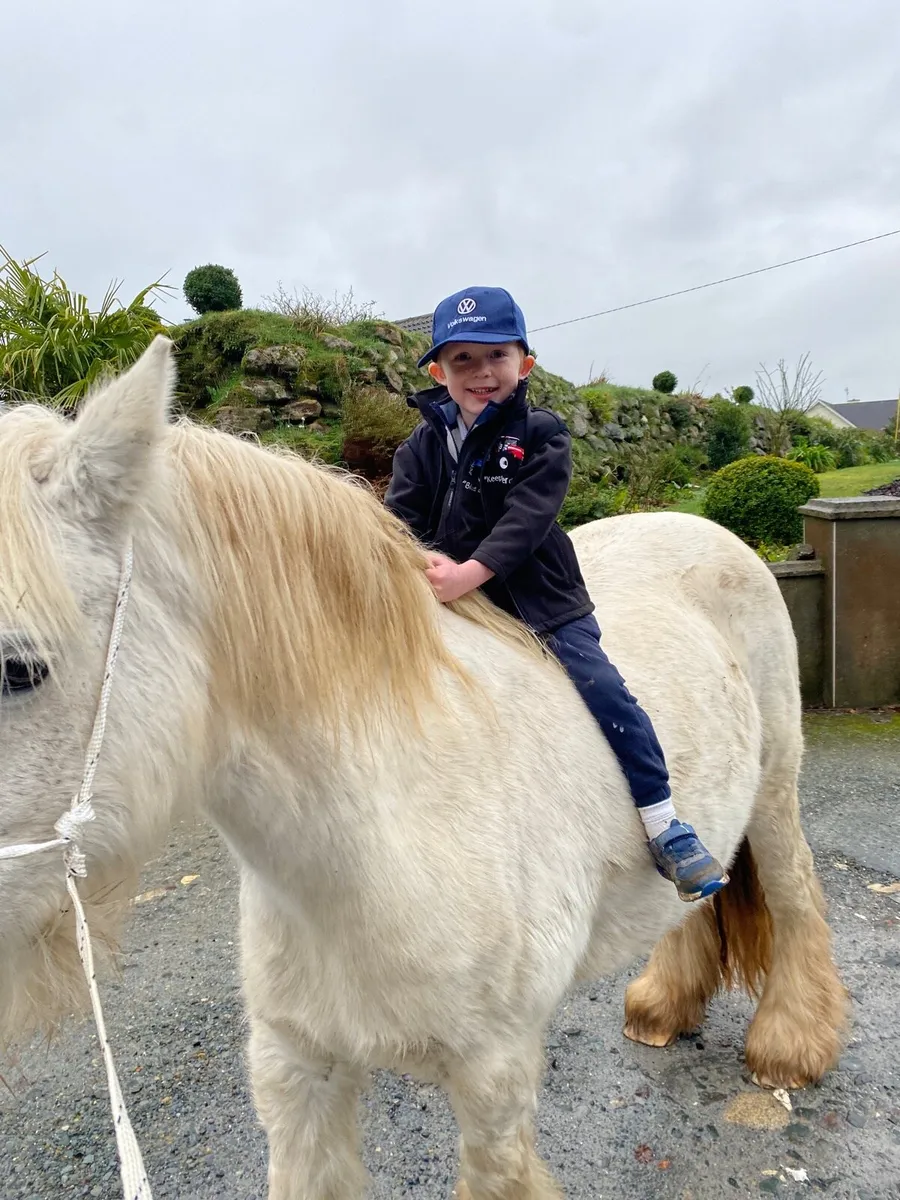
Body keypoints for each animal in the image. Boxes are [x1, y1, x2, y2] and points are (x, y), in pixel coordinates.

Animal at [0, 337, 847, 1199]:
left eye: (19, 668)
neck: (384, 839)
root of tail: (707, 529)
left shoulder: (494, 1083)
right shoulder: (295, 1072)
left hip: (774, 791)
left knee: (792, 890)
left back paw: (789, 1045)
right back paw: (664, 1006)